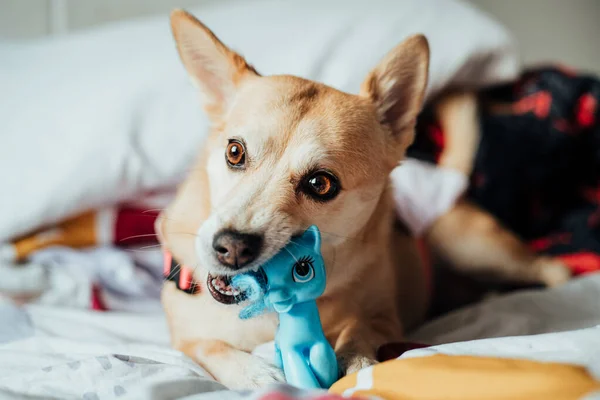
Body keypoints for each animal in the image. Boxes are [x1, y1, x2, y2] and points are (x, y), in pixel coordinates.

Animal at [157, 10, 568, 390]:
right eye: (235, 152)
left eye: (320, 184)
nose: (232, 247)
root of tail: (449, 179)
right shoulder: (184, 337)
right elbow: (209, 346)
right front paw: (256, 373)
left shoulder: (385, 318)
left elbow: (360, 328)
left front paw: (356, 362)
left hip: (472, 246)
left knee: (551, 269)